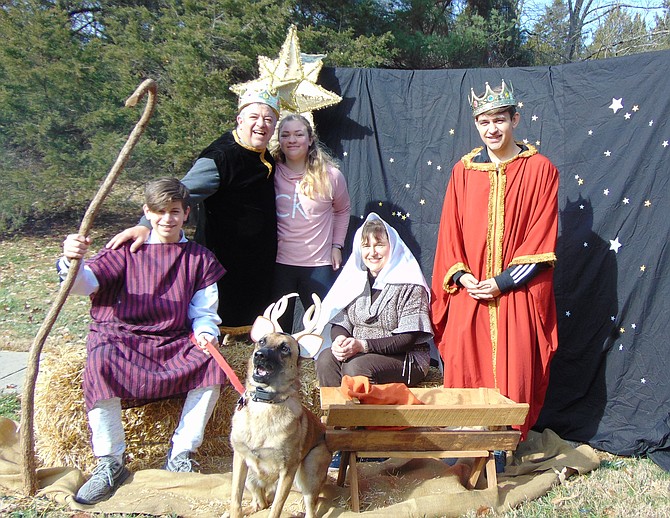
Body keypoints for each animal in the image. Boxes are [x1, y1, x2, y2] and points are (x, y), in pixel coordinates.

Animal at [230, 296, 332, 518]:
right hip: (251, 477)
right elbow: (235, 500)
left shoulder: (288, 469)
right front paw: (233, 511)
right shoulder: (240, 460)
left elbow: (276, 508)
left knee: (309, 508)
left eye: (284, 348)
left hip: (308, 472)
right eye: (261, 341)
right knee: (260, 503)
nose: (259, 355)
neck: (265, 404)